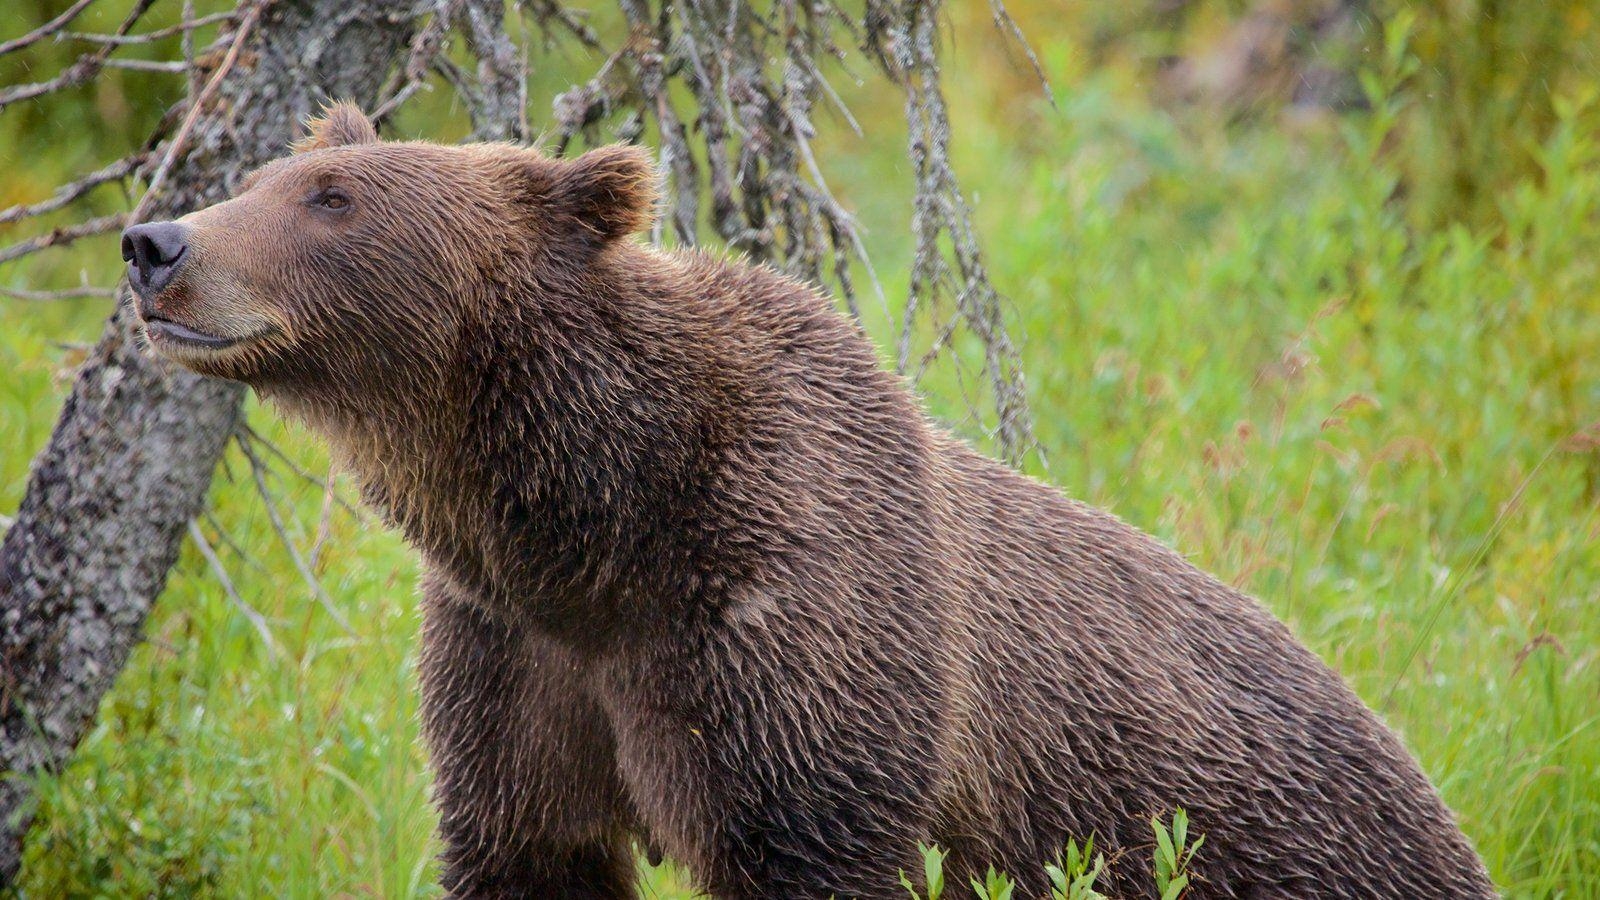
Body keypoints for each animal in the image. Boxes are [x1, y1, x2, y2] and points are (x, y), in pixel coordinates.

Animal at [124, 104, 1497, 896]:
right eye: (270, 170)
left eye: (334, 198)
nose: (155, 242)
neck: (592, 526)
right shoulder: (511, 653)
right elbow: (527, 844)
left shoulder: (794, 611)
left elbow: (808, 827)